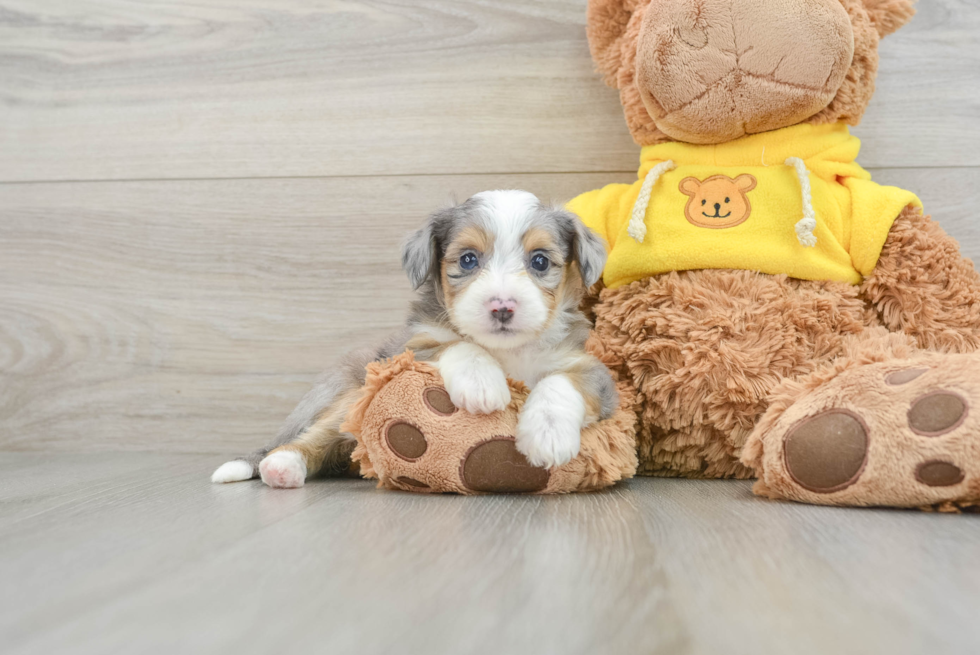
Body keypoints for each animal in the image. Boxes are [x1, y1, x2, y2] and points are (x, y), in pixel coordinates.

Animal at [211, 190, 616, 486]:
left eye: (540, 261)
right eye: (468, 260)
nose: (502, 307)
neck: (505, 351)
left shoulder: (593, 371)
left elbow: (561, 383)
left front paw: (548, 434)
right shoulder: (406, 352)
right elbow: (456, 343)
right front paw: (482, 384)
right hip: (349, 391)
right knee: (317, 434)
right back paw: (283, 463)